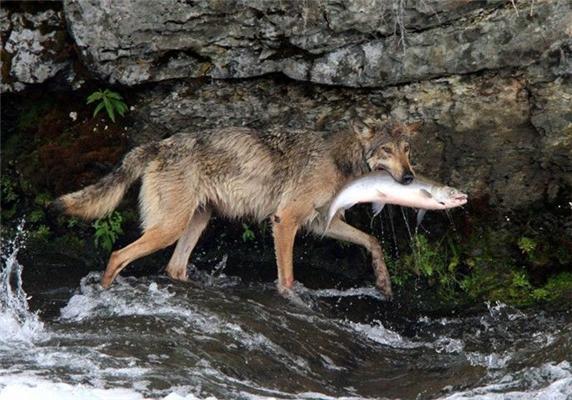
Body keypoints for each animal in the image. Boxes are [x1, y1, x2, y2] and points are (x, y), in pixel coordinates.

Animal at [50, 119, 416, 296]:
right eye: (386, 150)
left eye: (407, 149)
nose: (410, 177)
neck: (340, 160)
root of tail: (158, 144)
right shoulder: (285, 221)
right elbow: (287, 278)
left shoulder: (319, 223)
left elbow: (373, 241)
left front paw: (384, 283)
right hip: (168, 229)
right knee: (116, 256)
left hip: (195, 223)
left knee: (174, 267)